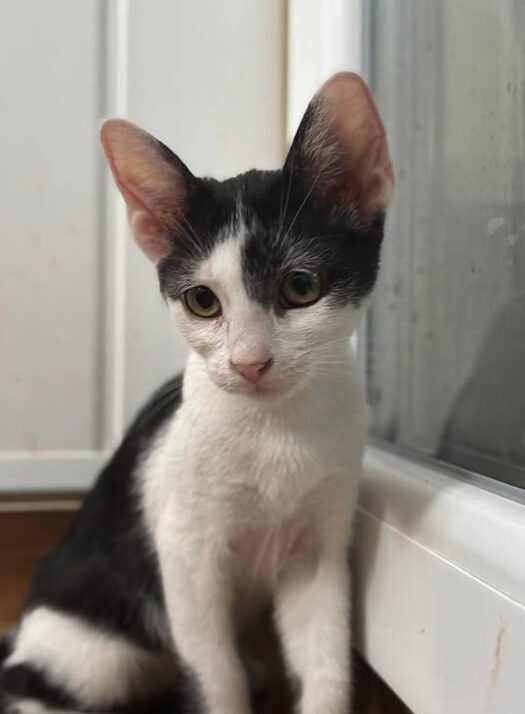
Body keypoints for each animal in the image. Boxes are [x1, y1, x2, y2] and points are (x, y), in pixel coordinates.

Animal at [1, 72, 392, 712]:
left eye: (300, 287)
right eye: (202, 301)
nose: (249, 362)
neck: (275, 426)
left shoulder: (319, 548)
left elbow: (326, 659)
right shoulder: (184, 547)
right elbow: (214, 670)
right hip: (93, 644)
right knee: (34, 683)